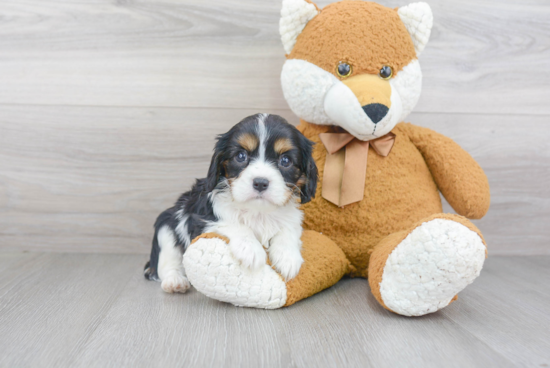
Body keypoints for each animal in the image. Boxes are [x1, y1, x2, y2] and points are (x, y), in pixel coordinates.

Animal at [144, 114, 320, 294]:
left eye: (285, 160)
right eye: (241, 156)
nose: (260, 183)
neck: (258, 211)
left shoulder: (292, 219)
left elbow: (287, 230)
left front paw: (288, 257)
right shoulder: (202, 220)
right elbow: (233, 224)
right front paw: (251, 248)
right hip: (166, 226)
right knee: (166, 263)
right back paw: (175, 281)